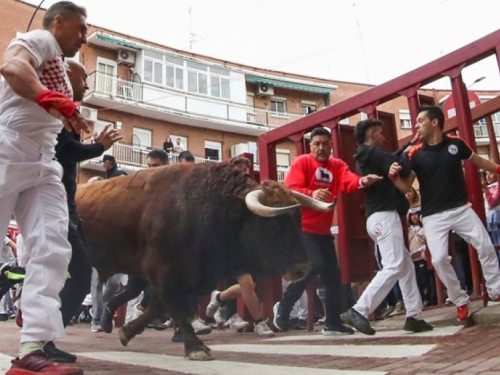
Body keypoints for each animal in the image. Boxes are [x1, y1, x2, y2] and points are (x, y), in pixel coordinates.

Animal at [76, 162, 334, 362]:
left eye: (299, 219)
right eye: (274, 224)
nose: (302, 269)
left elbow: (160, 308)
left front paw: (127, 332)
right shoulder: (164, 274)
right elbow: (177, 310)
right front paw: (196, 347)